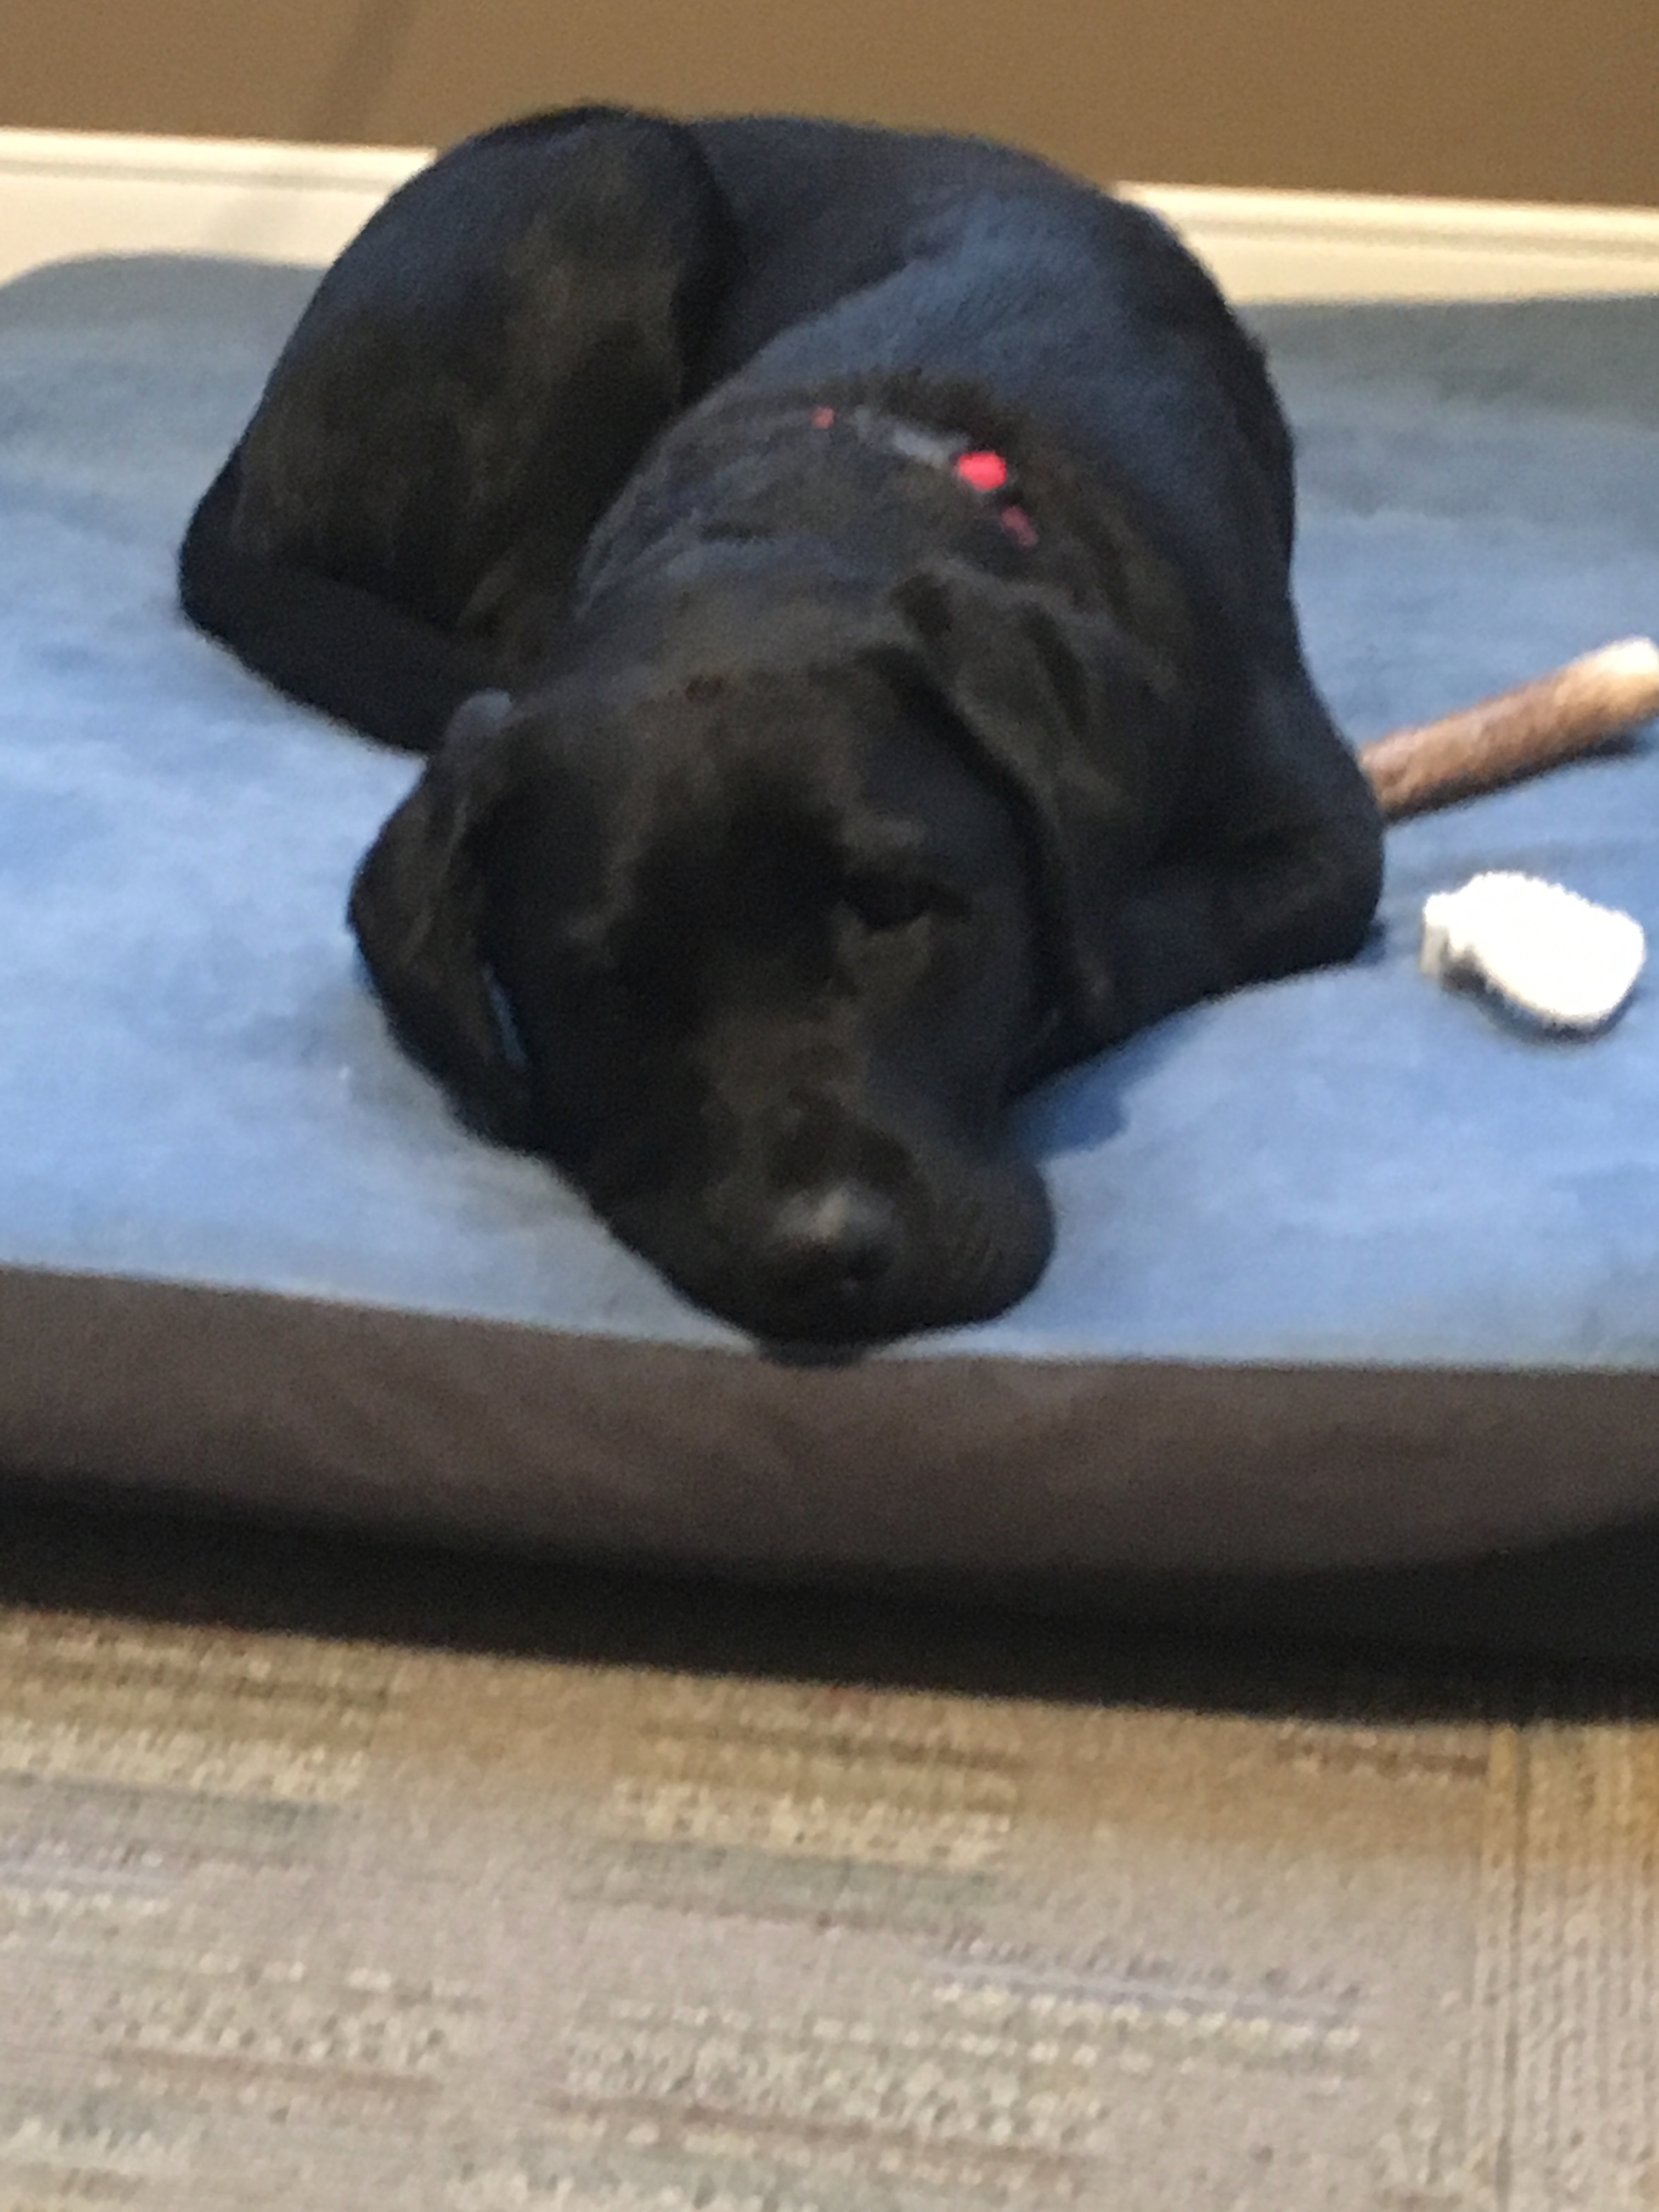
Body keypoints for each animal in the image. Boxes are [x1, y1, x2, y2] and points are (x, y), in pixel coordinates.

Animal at [176, 108, 1380, 1345]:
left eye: (896, 907)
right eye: (606, 978)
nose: (821, 1252)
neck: (831, 492)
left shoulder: (1322, 841)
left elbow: (1121, 951)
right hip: (612, 179)